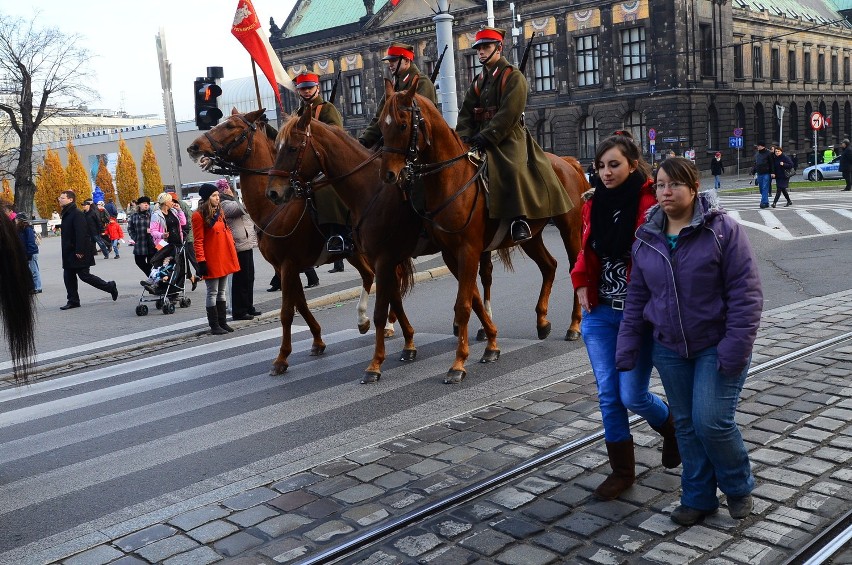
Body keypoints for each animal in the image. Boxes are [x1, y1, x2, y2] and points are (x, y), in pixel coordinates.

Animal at [188, 109, 378, 374]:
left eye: (231, 126)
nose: (194, 147)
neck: (274, 208)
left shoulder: (288, 266)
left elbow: (287, 311)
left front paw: (281, 358)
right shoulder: (286, 268)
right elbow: (301, 304)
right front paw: (317, 342)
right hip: (354, 253)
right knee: (371, 276)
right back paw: (366, 321)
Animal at [266, 110, 500, 384]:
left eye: (292, 148)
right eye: (276, 148)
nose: (273, 193)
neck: (369, 189)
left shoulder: (382, 259)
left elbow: (380, 309)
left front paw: (375, 364)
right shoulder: (384, 260)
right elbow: (393, 300)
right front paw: (407, 345)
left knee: (481, 281)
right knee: (471, 290)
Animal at [380, 78, 584, 384]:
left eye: (403, 125)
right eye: (382, 125)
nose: (390, 175)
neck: (451, 181)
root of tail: (568, 162)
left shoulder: (469, 250)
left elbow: (464, 304)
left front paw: (458, 364)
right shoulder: (452, 255)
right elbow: (473, 299)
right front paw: (491, 346)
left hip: (569, 228)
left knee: (573, 268)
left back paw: (574, 326)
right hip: (531, 237)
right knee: (549, 266)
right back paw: (542, 321)